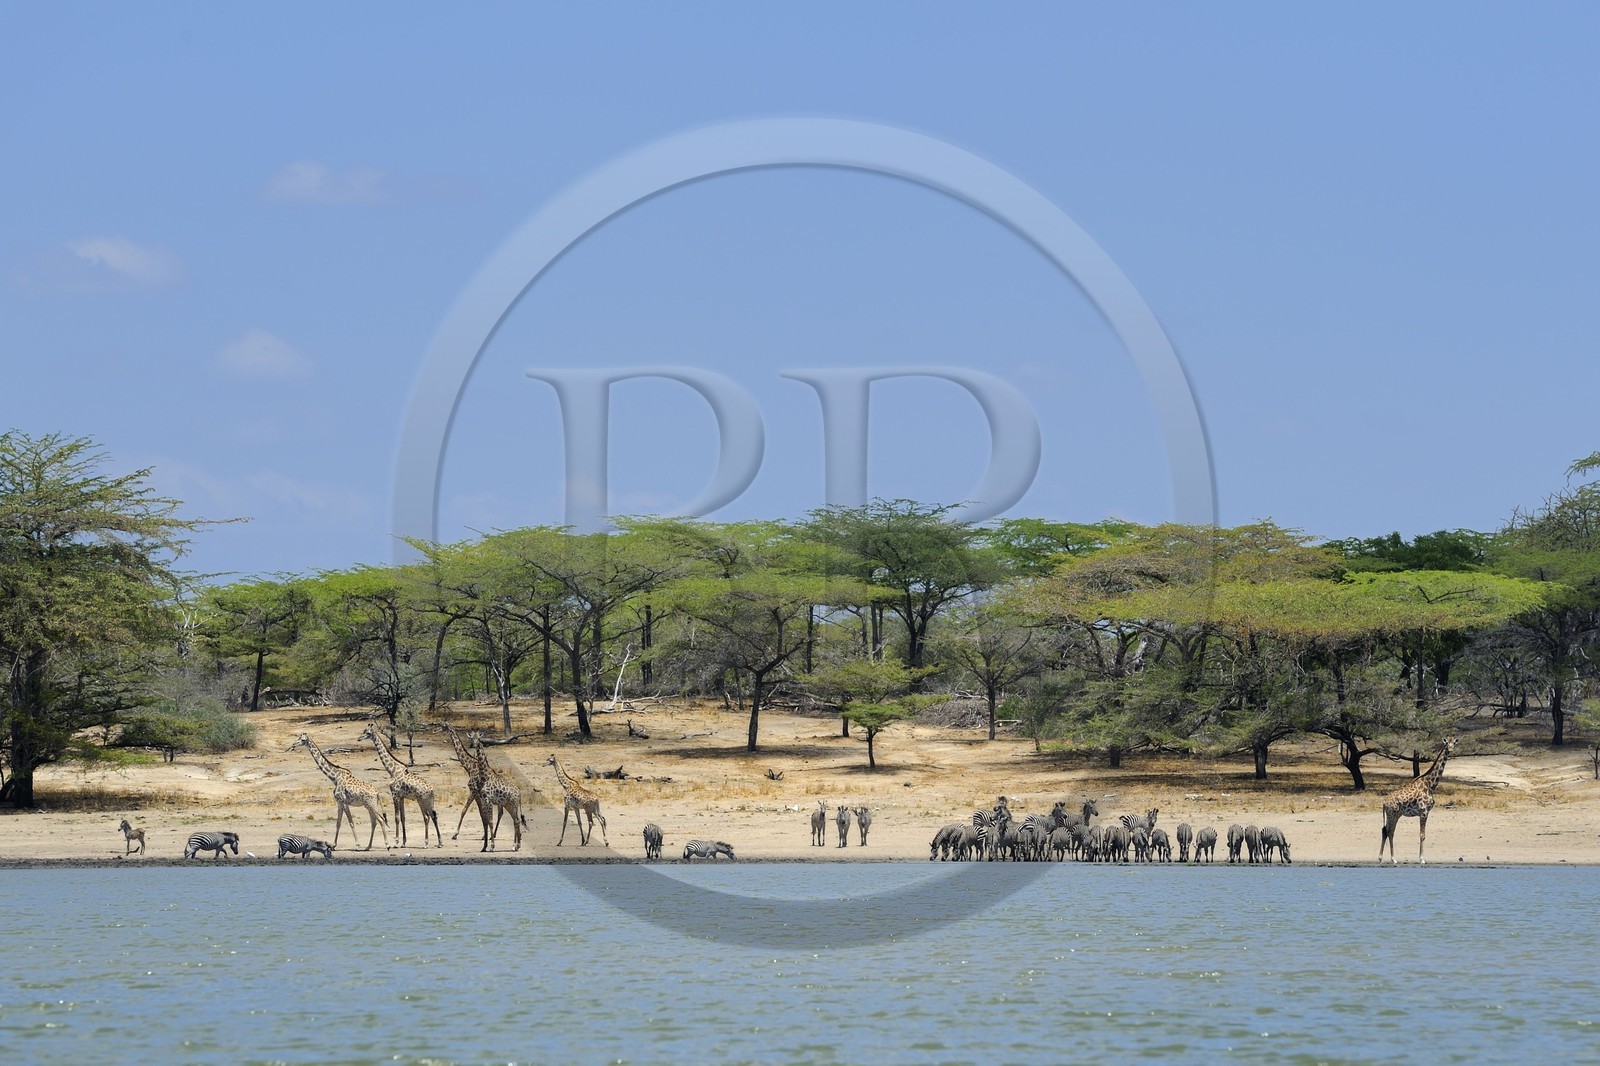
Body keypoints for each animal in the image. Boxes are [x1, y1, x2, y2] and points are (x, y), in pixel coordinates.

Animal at [1379, 735, 1458, 864]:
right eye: (1446, 743)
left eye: (1454, 743)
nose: (1451, 749)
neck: (1430, 785)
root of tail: (1384, 803)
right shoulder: (1424, 811)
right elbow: (1422, 835)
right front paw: (1422, 859)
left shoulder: (1425, 812)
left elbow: (1422, 835)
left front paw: (1421, 858)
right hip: (1392, 814)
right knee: (1387, 831)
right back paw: (1388, 858)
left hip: (1396, 814)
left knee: (1388, 831)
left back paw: (1389, 858)